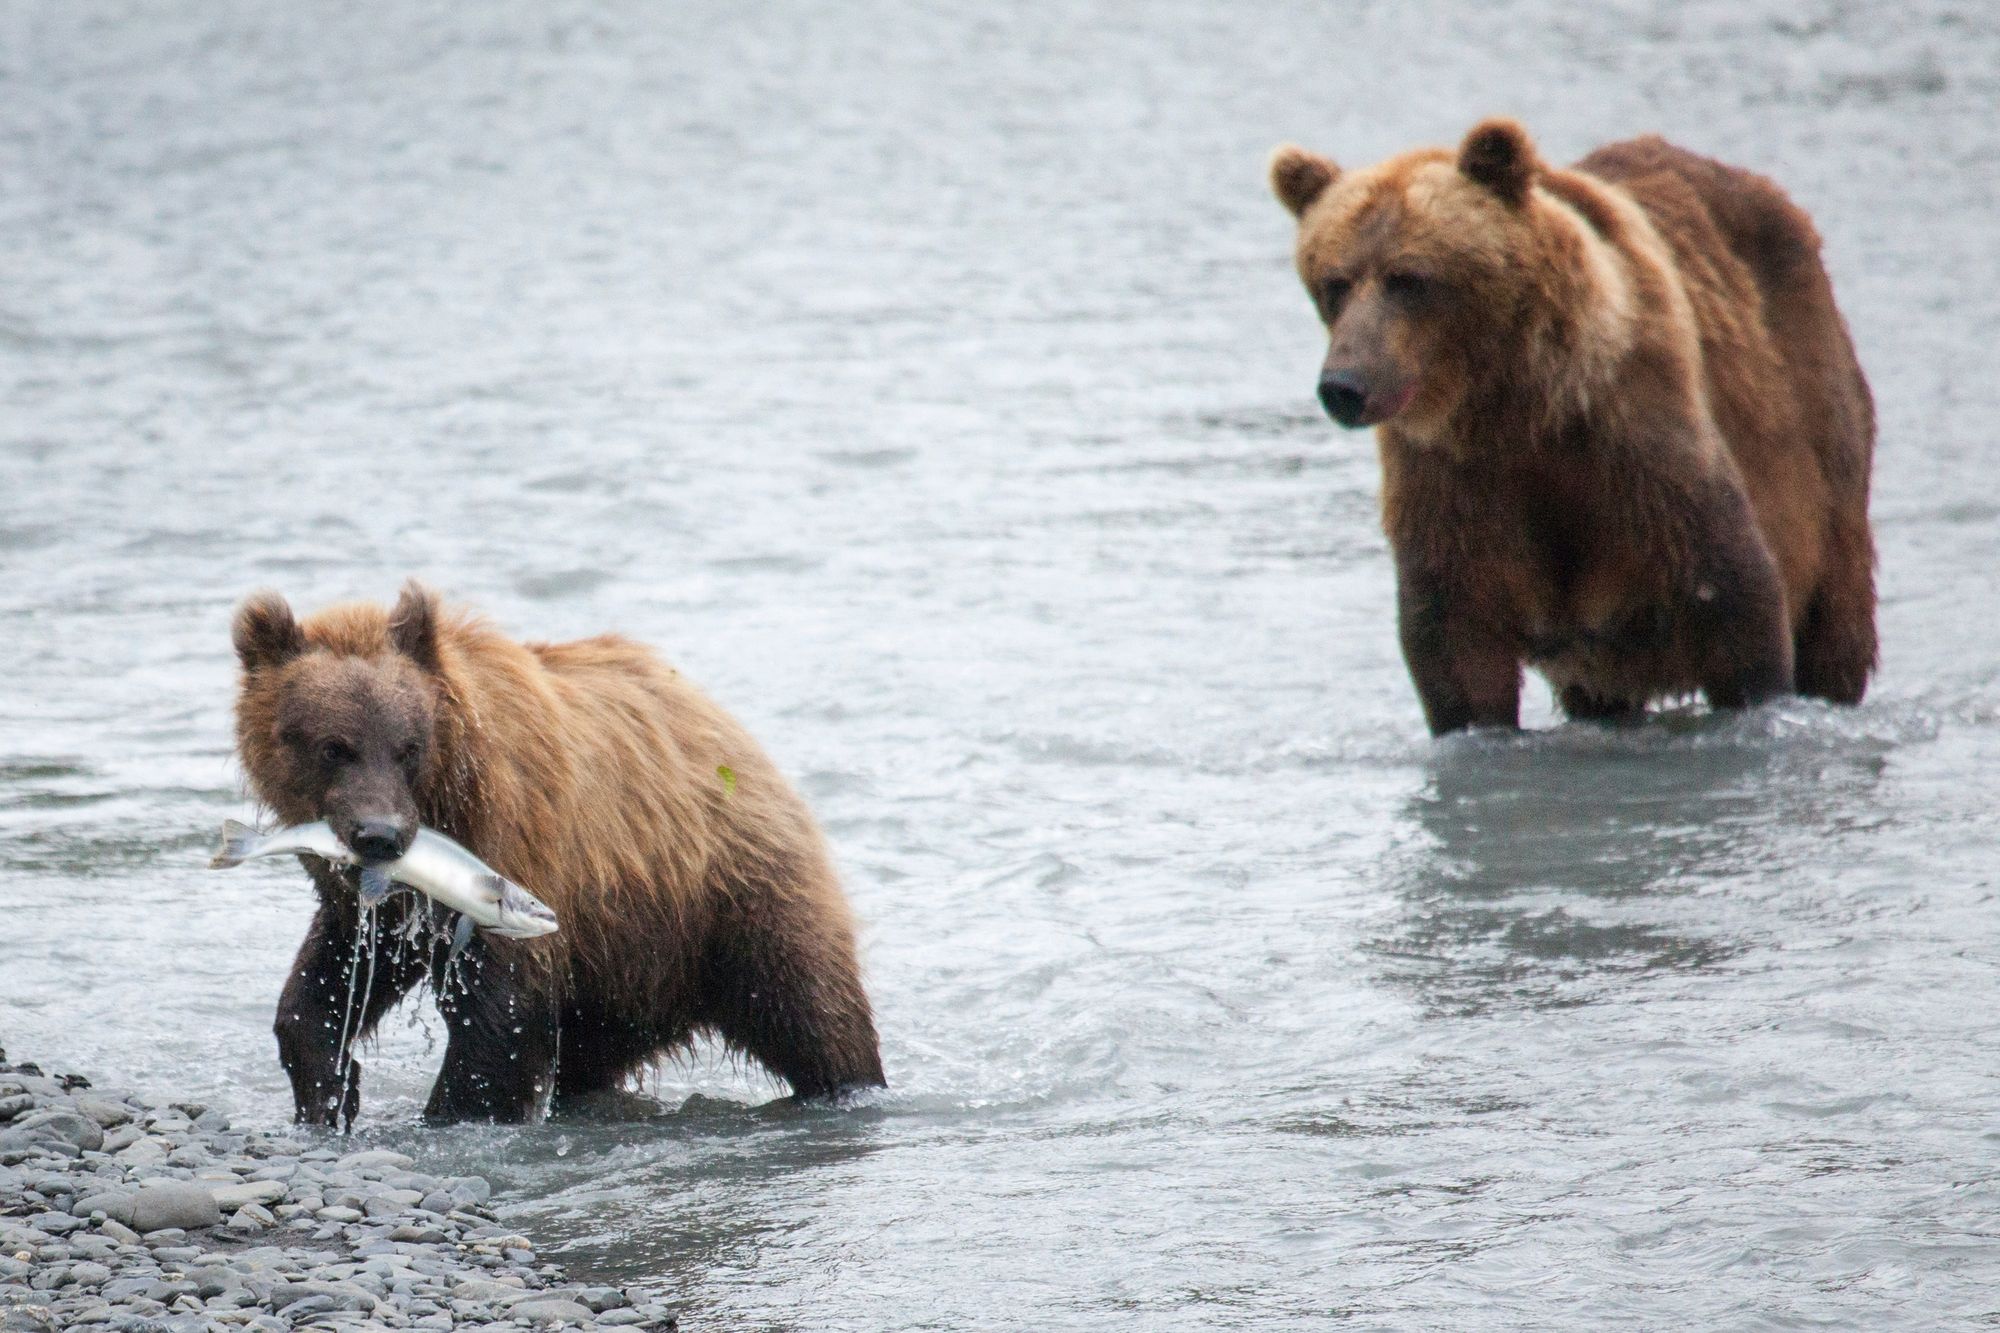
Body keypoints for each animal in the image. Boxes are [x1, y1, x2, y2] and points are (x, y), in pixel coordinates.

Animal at [229, 580, 884, 1120]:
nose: (381, 834)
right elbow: (334, 973)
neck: (448, 797)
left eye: (408, 745)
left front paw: (450, 1113)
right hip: (626, 958)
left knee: (810, 1008)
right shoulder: (383, 902)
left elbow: (501, 1014)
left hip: (728, 893)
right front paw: (331, 1088)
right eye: (333, 746)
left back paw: (850, 1085)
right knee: (594, 1052)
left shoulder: (516, 840)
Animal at [1264, 119, 1872, 732]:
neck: (1519, 406)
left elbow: (1733, 596)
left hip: (1815, 408)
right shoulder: (1450, 479)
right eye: (1334, 282)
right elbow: (1454, 641)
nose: (1344, 385)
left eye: (1408, 277)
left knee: (1836, 611)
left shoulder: (1637, 442)